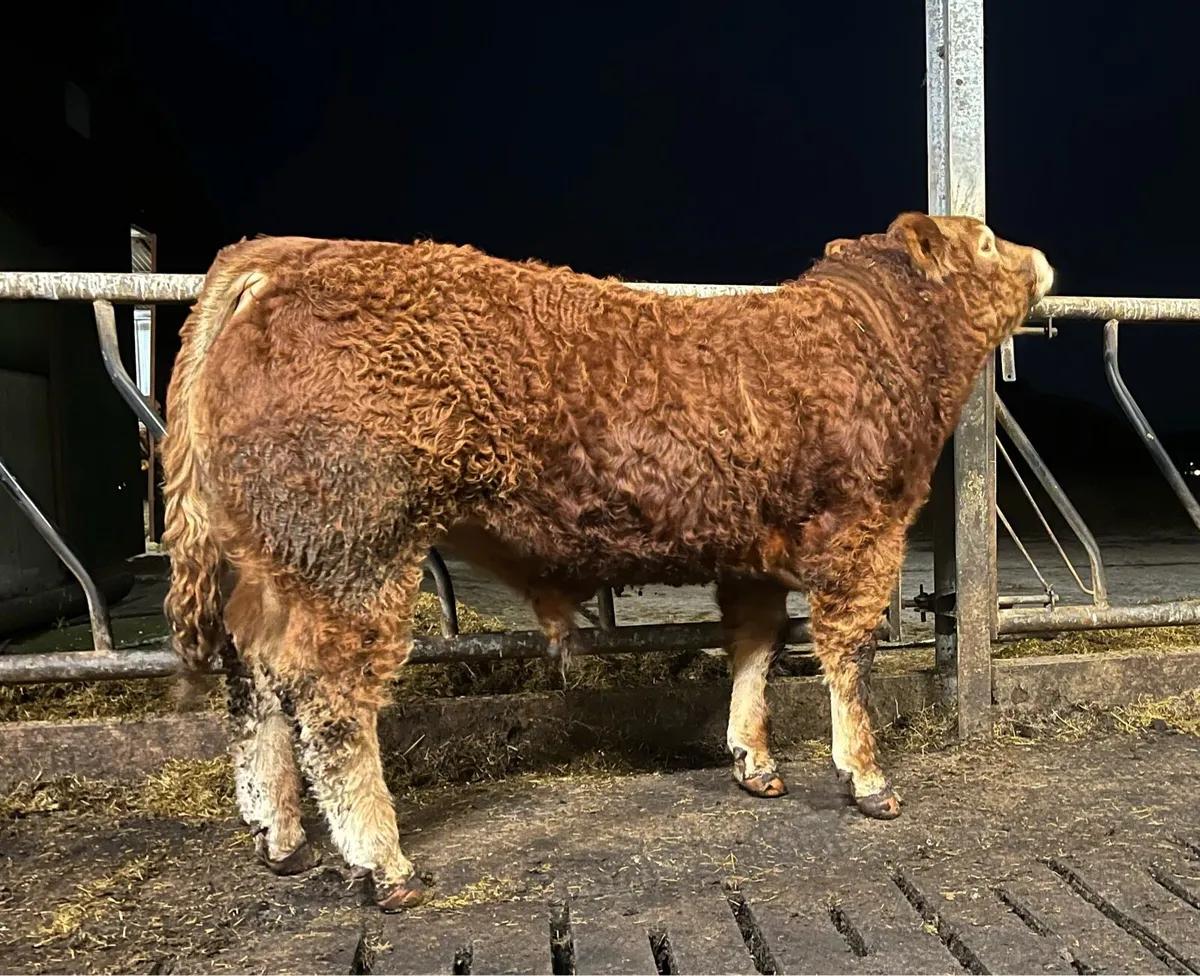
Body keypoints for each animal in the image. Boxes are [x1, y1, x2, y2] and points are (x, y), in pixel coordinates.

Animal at [160, 212, 1053, 911]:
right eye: (984, 240)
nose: (1042, 255)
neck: (866, 340)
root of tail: (280, 255)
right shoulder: (861, 530)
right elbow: (849, 655)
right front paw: (865, 777)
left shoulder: (751, 550)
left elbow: (756, 644)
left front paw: (753, 759)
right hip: (354, 547)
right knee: (331, 699)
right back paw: (384, 863)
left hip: (277, 562)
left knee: (254, 677)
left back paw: (280, 835)